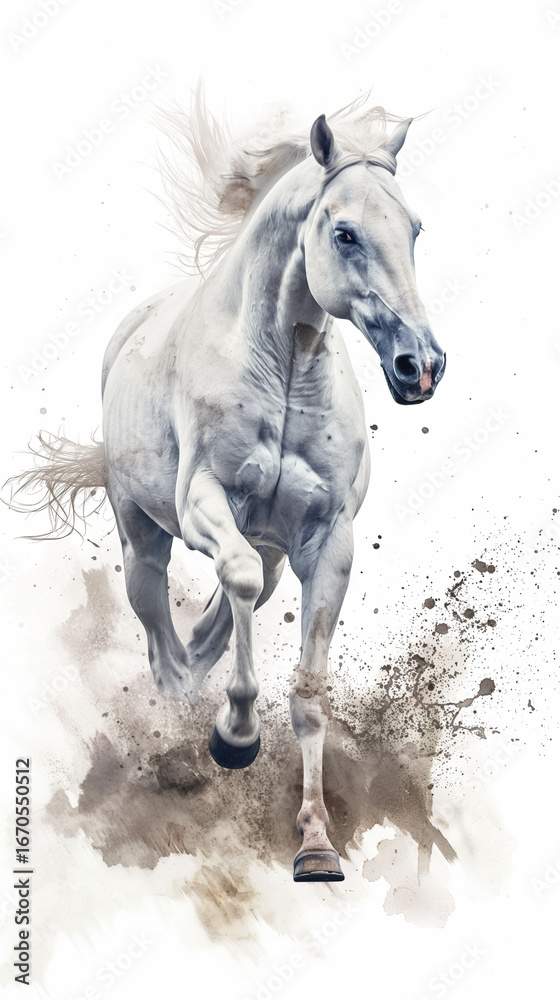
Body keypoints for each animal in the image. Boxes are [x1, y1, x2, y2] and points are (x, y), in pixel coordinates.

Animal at [7, 93, 445, 882]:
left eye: (415, 229)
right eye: (345, 233)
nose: (420, 366)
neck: (282, 371)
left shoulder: (327, 542)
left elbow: (308, 694)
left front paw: (316, 848)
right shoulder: (203, 504)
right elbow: (231, 583)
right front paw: (235, 736)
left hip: (274, 553)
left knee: (223, 614)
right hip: (142, 536)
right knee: (162, 633)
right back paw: (185, 718)